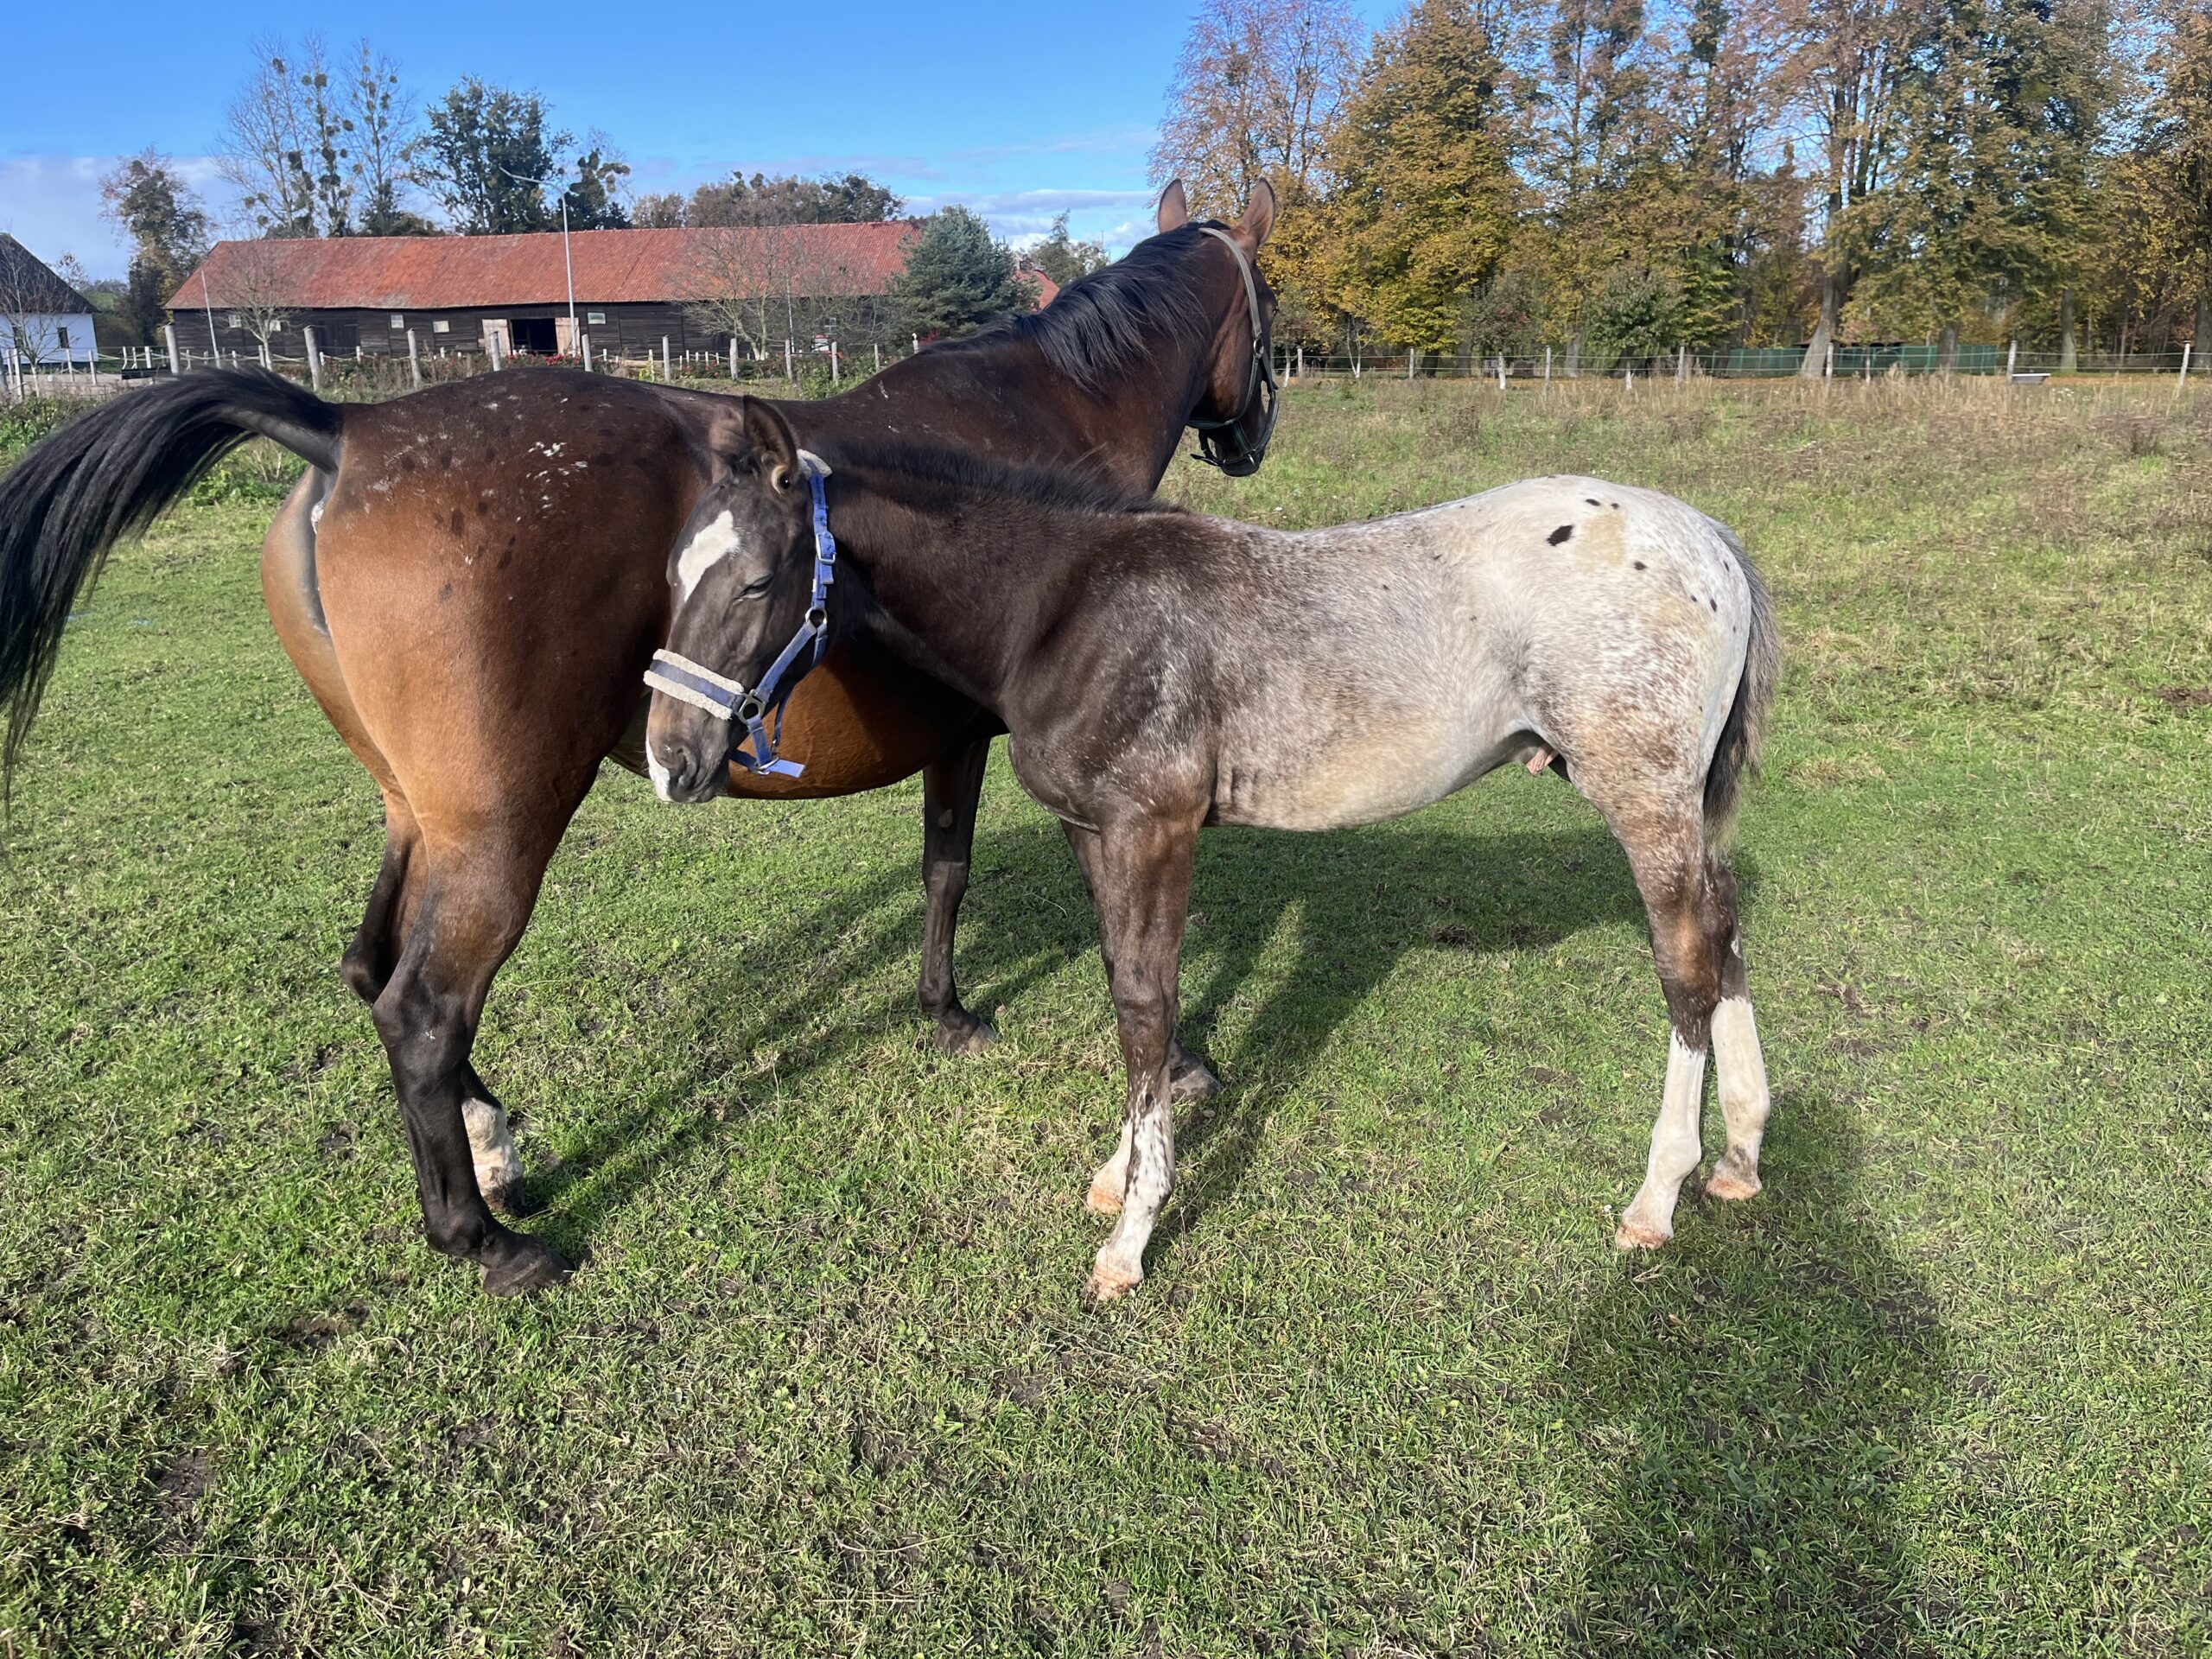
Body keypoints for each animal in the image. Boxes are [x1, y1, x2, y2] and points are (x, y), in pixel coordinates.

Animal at [0, 182, 1279, 1296]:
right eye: (1269, 306)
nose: (1253, 434)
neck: (1038, 421)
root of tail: (345, 429)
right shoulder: (1026, 749)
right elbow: (1004, 892)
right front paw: (1093, 1045)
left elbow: (952, 873)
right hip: (504, 834)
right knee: (421, 1010)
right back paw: (482, 1237)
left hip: (418, 815)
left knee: (372, 968)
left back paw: (492, 1139)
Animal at [643, 404, 1781, 1299]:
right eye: (671, 571)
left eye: (757, 583)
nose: (669, 760)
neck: (1064, 606)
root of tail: (1713, 542)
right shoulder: (1096, 830)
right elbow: (1127, 986)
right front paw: (1117, 1173)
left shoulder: (1155, 828)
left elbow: (1146, 1007)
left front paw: (1130, 1236)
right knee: (1724, 931)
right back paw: (1739, 1152)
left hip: (1642, 799)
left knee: (1685, 966)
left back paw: (1657, 1197)